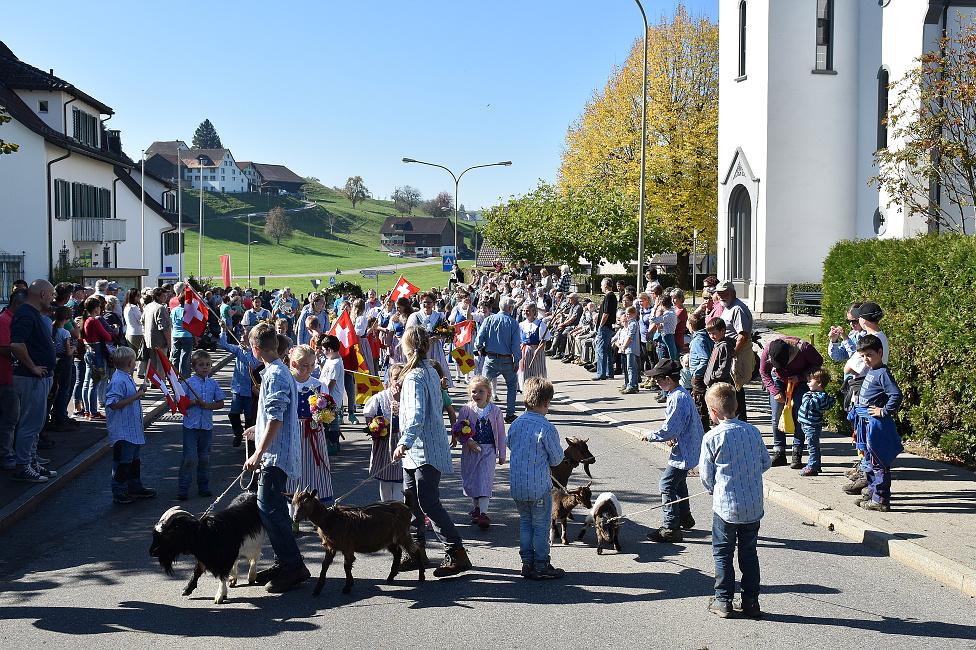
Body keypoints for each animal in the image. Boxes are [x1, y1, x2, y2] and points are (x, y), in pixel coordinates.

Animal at [290, 492, 428, 592]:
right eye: (293, 503)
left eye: (306, 503)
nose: (295, 517)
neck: (330, 519)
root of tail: (407, 507)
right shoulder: (331, 546)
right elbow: (325, 565)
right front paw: (317, 589)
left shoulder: (347, 545)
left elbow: (346, 565)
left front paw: (347, 587)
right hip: (389, 538)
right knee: (398, 552)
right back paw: (390, 577)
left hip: (402, 534)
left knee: (414, 550)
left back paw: (421, 576)